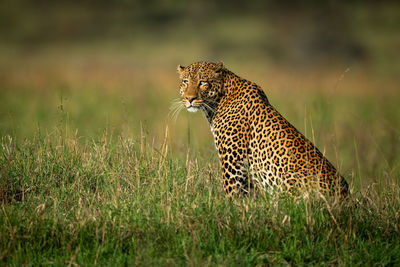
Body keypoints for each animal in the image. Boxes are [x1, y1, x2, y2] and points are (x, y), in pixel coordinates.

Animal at [177, 61, 348, 199]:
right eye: (185, 82)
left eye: (203, 82)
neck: (216, 103)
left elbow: (231, 194)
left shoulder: (233, 163)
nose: (190, 98)